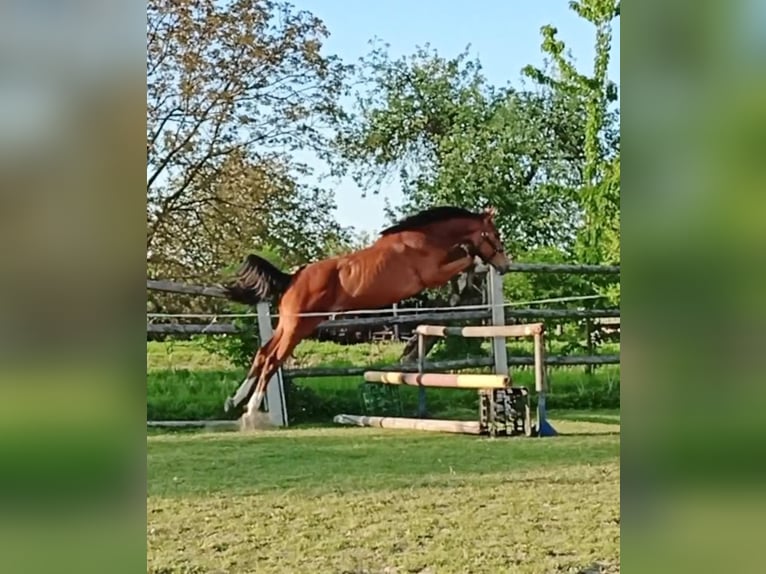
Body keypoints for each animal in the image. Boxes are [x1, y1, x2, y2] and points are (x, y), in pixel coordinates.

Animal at [220, 206, 510, 424]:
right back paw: (251, 408)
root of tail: (292, 278)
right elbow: (466, 259)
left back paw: (233, 401)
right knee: (272, 359)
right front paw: (475, 265)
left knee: (262, 353)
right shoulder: (432, 275)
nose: (505, 266)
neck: (424, 240)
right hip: (298, 327)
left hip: (289, 325)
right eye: (495, 235)